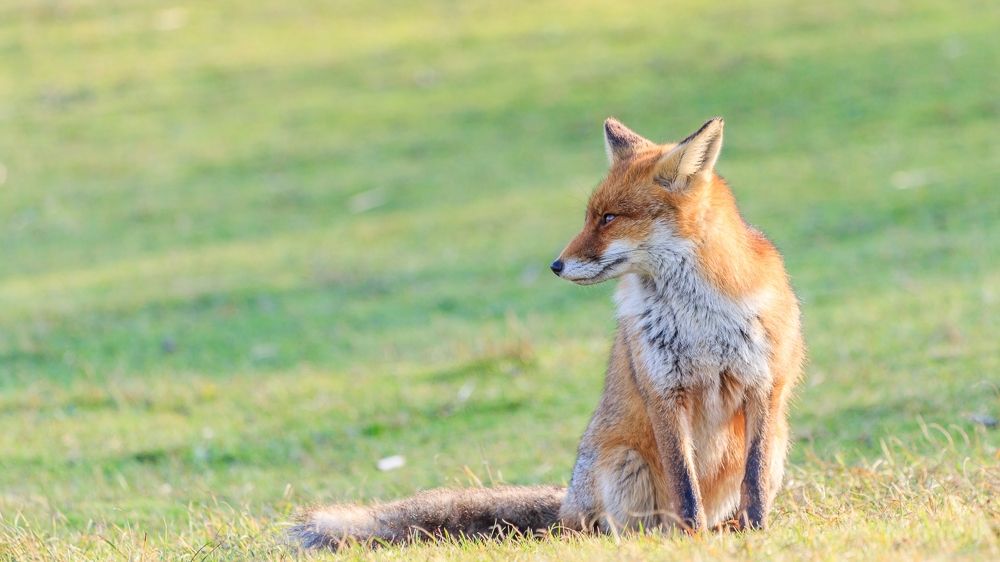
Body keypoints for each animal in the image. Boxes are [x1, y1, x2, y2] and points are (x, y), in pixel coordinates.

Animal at [291, 117, 804, 549]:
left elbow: (753, 480)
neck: (699, 318)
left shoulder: (763, 387)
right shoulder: (664, 390)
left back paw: (726, 527)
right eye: (589, 215)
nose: (555, 265)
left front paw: (756, 532)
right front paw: (693, 539)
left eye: (609, 218)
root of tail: (566, 504)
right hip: (623, 464)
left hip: (779, 439)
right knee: (608, 530)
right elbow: (685, 484)